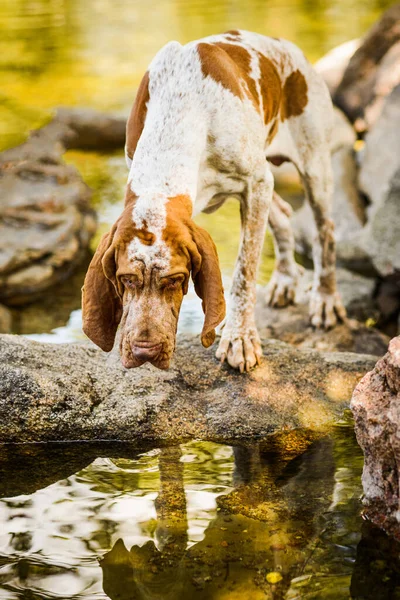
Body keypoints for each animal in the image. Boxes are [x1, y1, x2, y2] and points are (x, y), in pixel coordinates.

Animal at [82, 32, 346, 372]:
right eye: (125, 279)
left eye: (176, 280)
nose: (145, 351)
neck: (178, 108)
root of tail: (284, 44)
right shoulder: (255, 187)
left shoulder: (256, 183)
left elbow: (244, 274)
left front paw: (239, 338)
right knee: (283, 214)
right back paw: (285, 278)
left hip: (314, 168)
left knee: (325, 230)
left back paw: (325, 298)